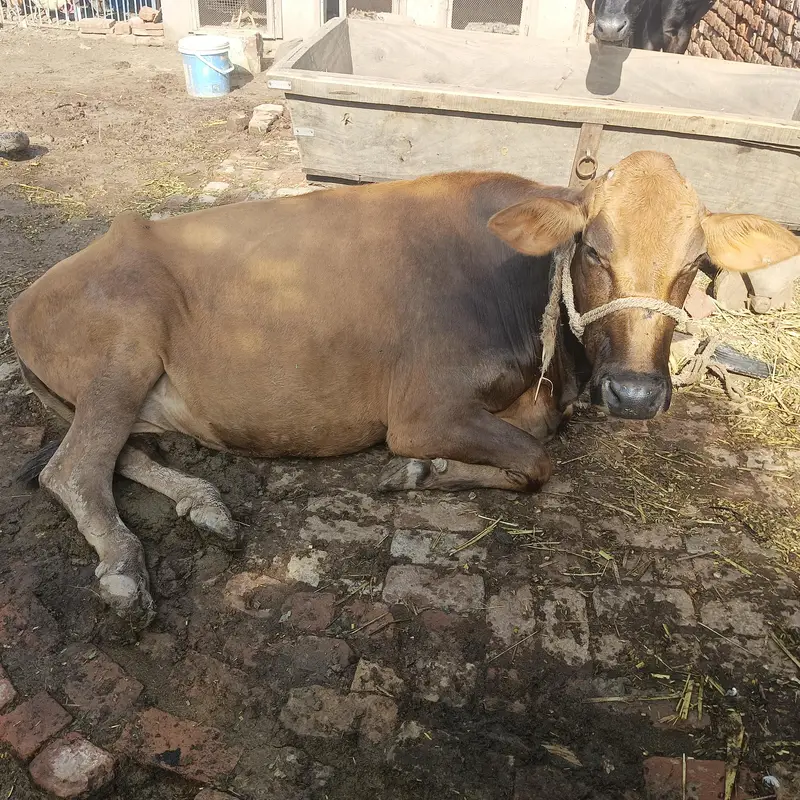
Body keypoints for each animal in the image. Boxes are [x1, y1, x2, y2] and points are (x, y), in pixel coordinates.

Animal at [9, 150, 799, 628]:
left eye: (694, 263)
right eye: (593, 249)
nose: (636, 394)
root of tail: (29, 296)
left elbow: (534, 449)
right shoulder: (420, 412)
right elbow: (537, 461)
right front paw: (417, 472)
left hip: (133, 397)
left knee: (118, 454)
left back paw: (204, 503)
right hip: (124, 352)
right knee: (72, 469)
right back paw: (122, 571)